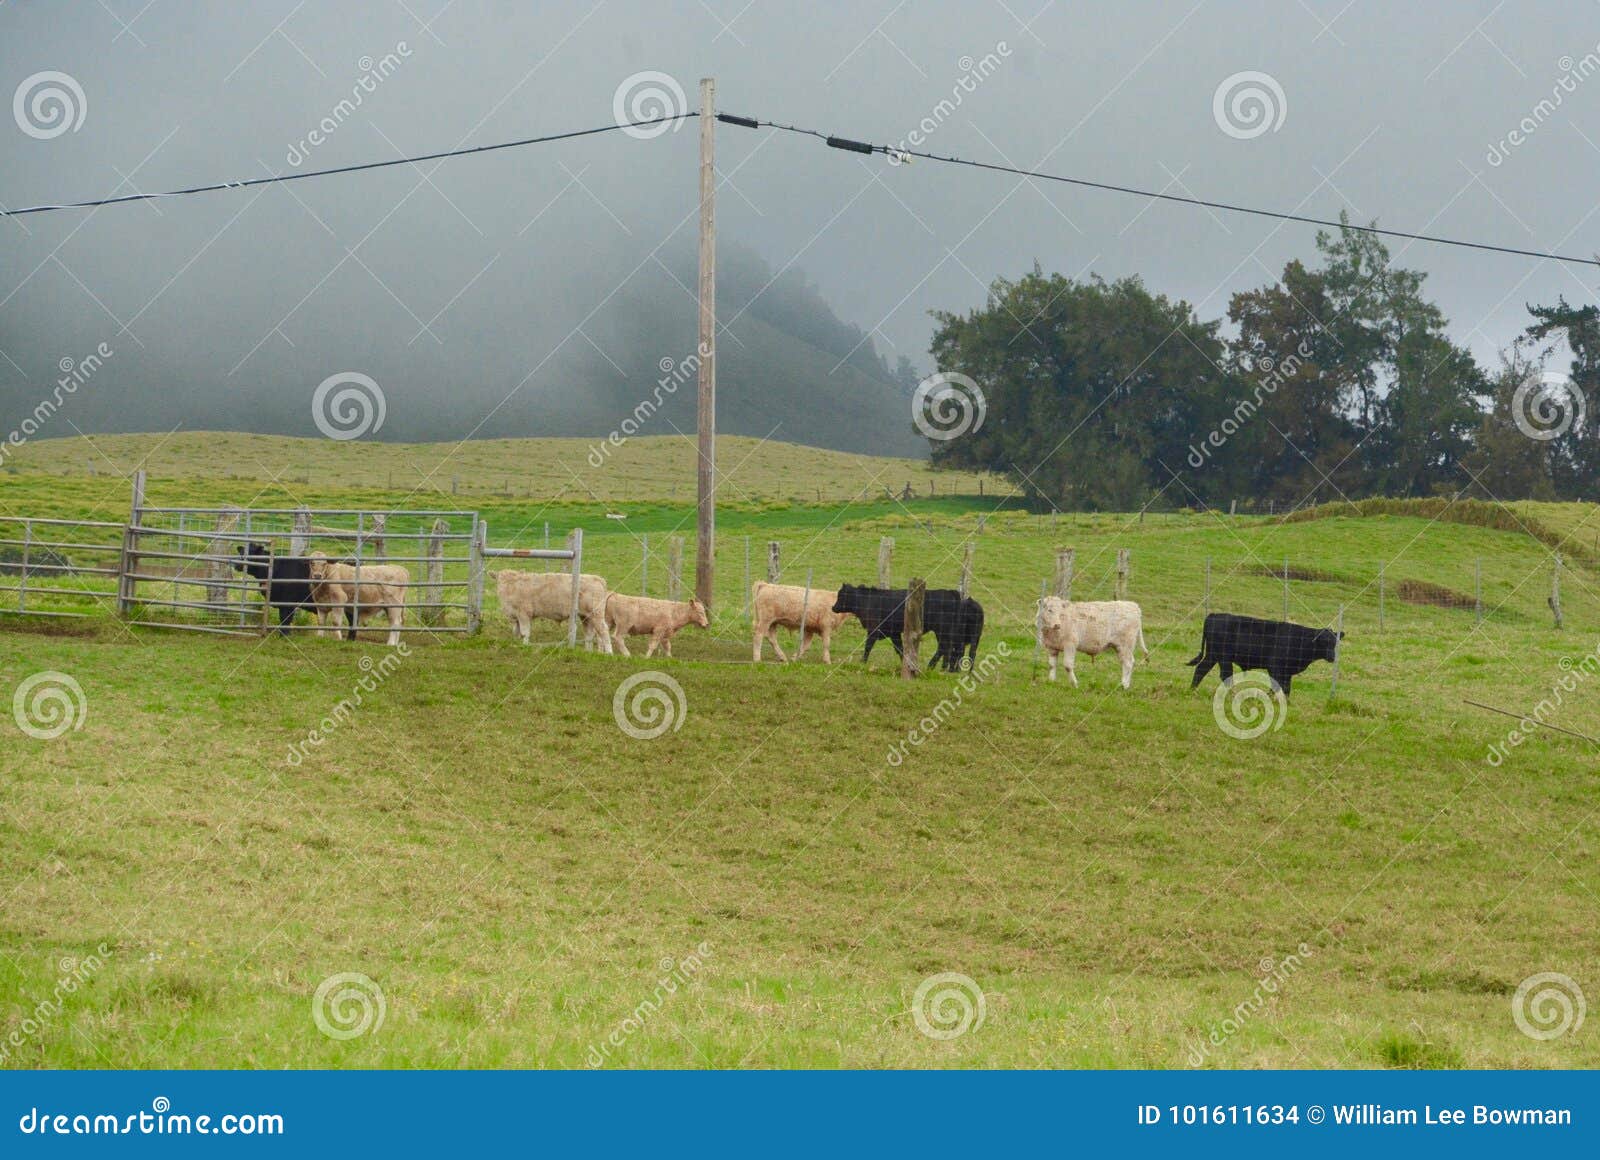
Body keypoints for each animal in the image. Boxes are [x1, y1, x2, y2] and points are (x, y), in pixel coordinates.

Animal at [1186, 612, 1340, 697]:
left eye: (1335, 643)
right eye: (1324, 642)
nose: (1333, 657)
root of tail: (1214, 615)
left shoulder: (1287, 671)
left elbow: (1287, 688)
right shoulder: (1275, 667)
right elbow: (1277, 685)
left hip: (1213, 655)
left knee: (1201, 669)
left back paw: (1192, 690)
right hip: (1224, 657)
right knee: (1226, 676)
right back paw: (1232, 694)